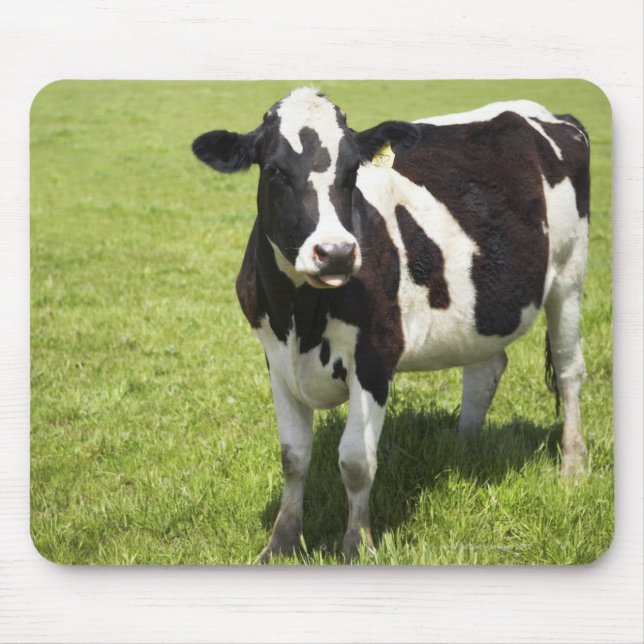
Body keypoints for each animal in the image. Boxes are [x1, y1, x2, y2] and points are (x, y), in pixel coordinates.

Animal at [192, 87, 590, 562]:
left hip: (568, 274)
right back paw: (461, 451)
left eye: (352, 172)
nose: (336, 252)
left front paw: (357, 545)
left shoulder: (375, 357)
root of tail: (547, 113)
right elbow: (293, 456)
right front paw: (281, 543)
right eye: (273, 171)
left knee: (568, 371)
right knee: (485, 369)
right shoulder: (275, 356)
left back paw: (572, 467)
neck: (301, 317)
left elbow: (356, 461)